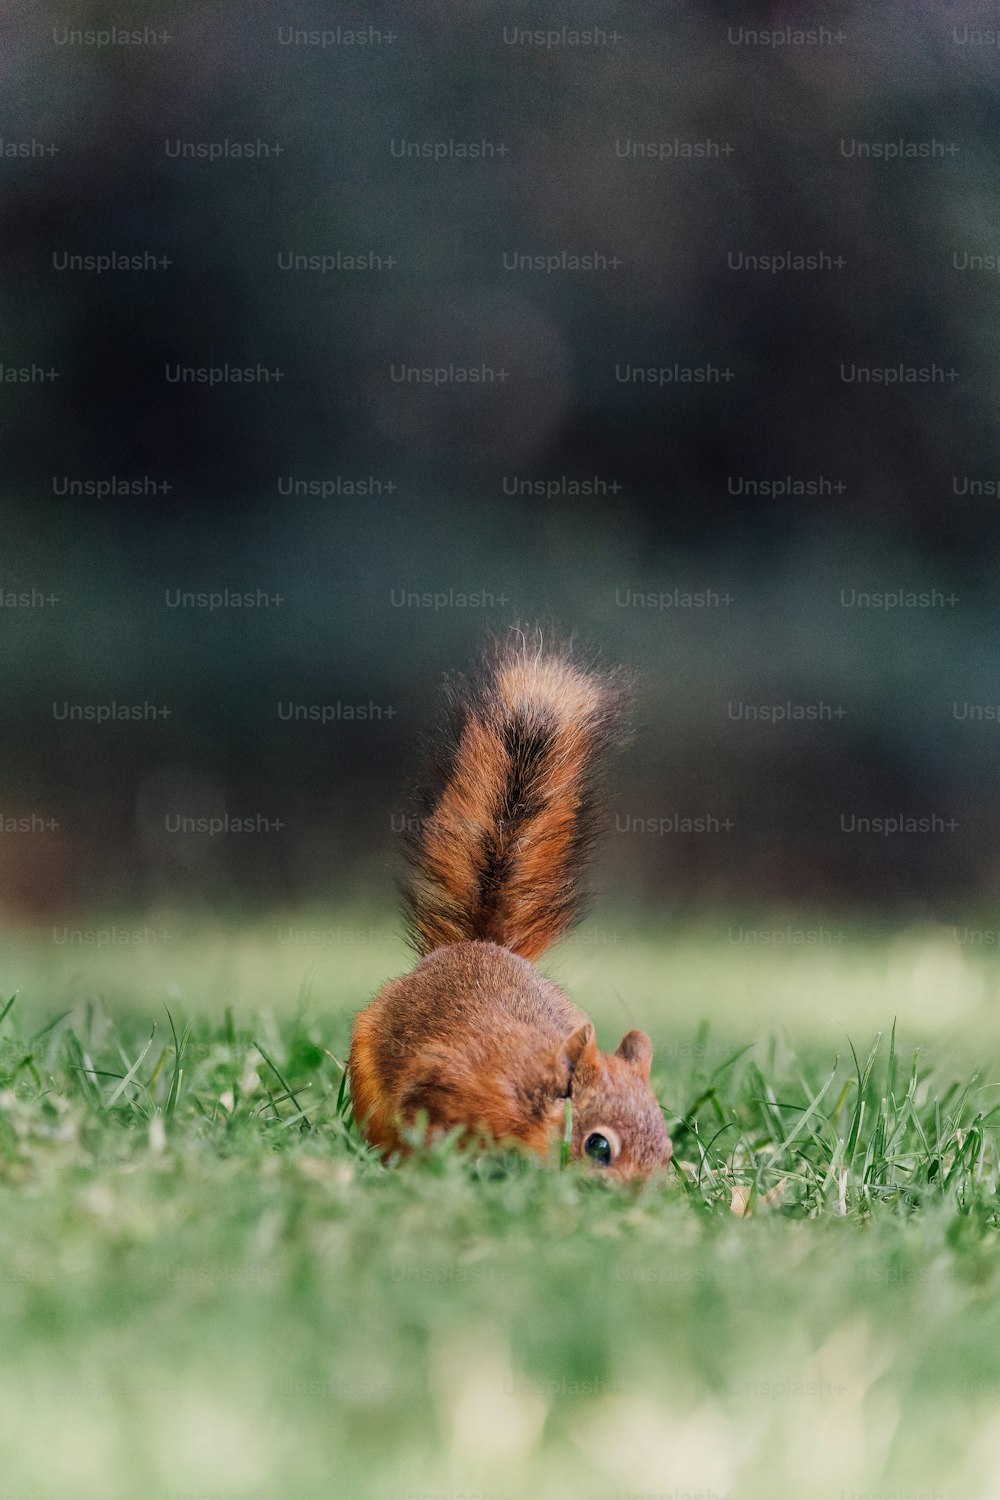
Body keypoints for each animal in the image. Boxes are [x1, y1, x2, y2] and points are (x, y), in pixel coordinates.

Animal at [350, 627, 671, 1176]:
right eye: (598, 1147)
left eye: (669, 1152)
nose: (646, 1196)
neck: (530, 1093)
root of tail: (477, 946)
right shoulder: (446, 1080)